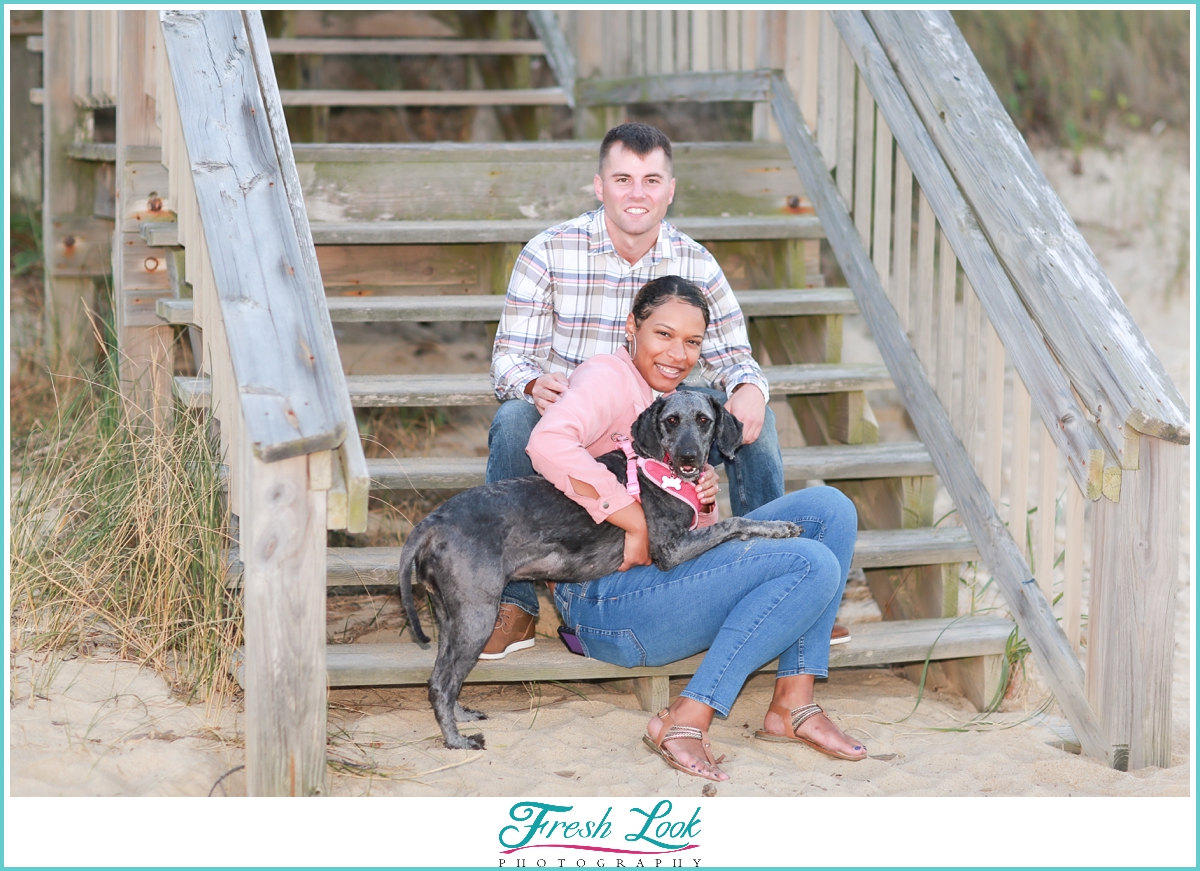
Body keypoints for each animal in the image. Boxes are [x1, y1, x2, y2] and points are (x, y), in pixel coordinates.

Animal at [398, 391, 801, 748]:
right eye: (671, 420)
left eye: (704, 420)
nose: (688, 457)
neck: (656, 467)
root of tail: (432, 522)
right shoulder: (671, 550)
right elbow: (735, 522)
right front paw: (778, 528)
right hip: (476, 616)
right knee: (442, 683)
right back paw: (456, 741)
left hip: (451, 616)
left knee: (440, 678)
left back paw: (461, 718)